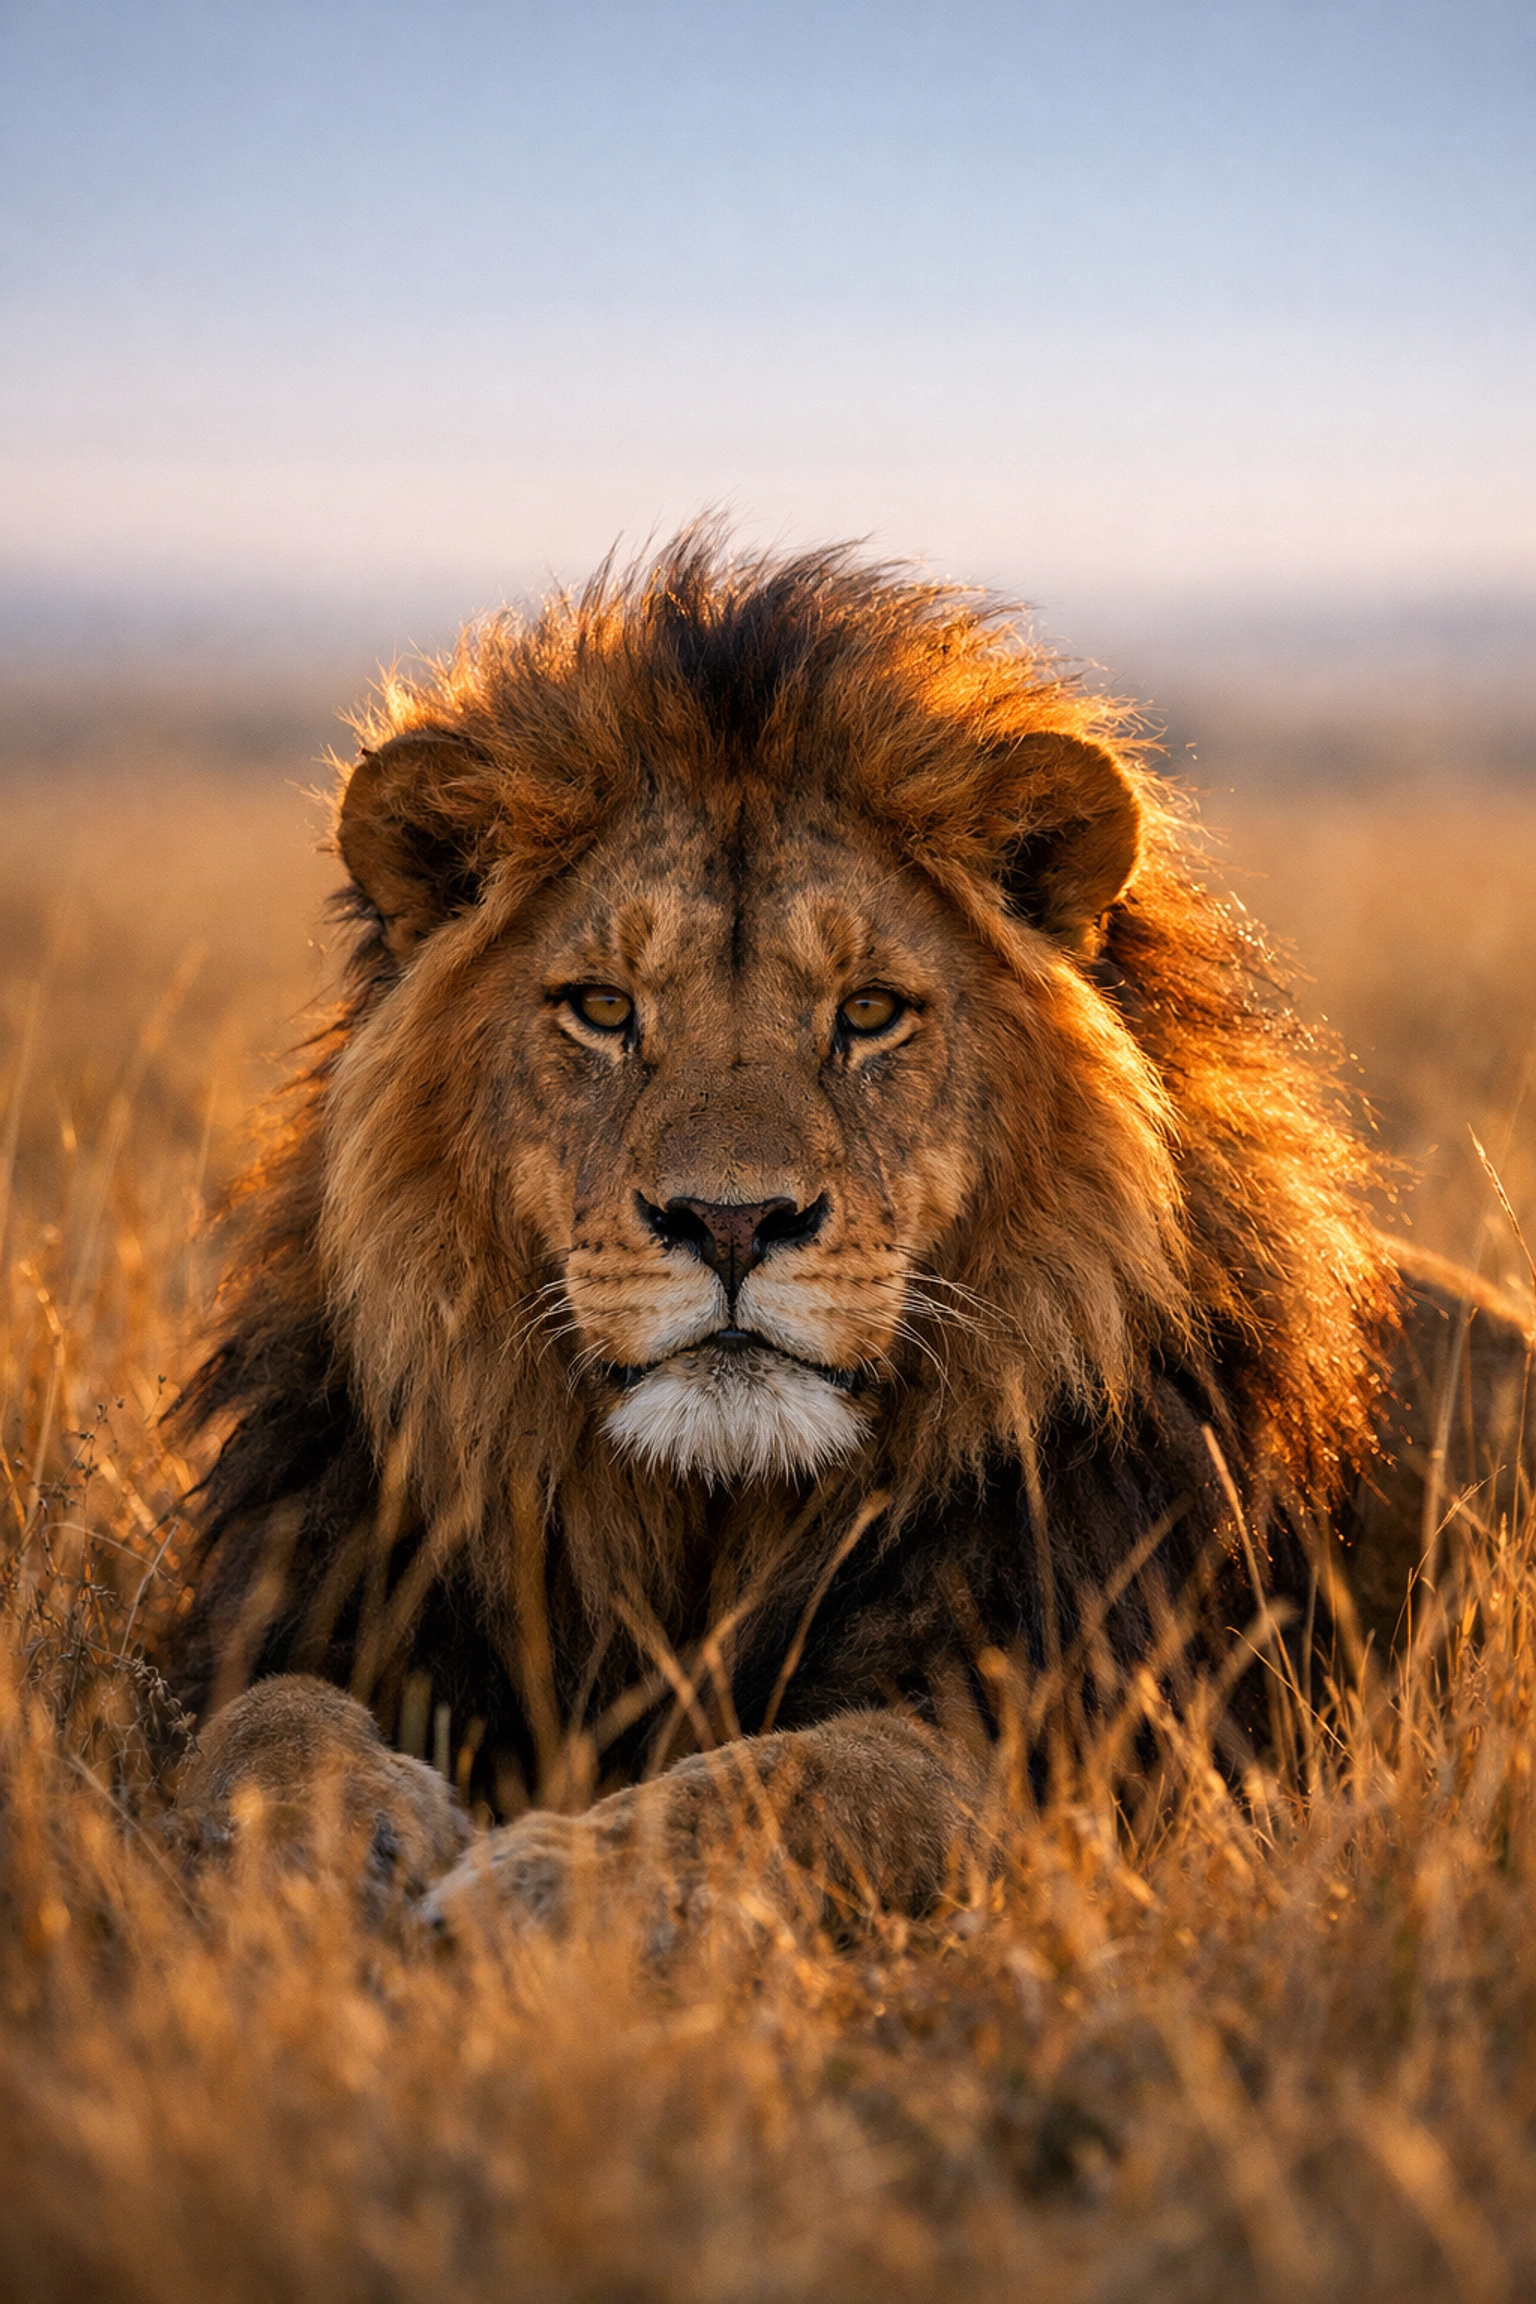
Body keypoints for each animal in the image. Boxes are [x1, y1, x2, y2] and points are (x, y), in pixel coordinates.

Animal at [164, 532, 1534, 1935]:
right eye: (601, 1007)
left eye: (870, 1012)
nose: (730, 1221)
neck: (711, 1517)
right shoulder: (309, 1597)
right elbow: (263, 1724)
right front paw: (323, 1854)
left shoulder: (1073, 1744)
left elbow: (806, 1782)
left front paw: (544, 1892)